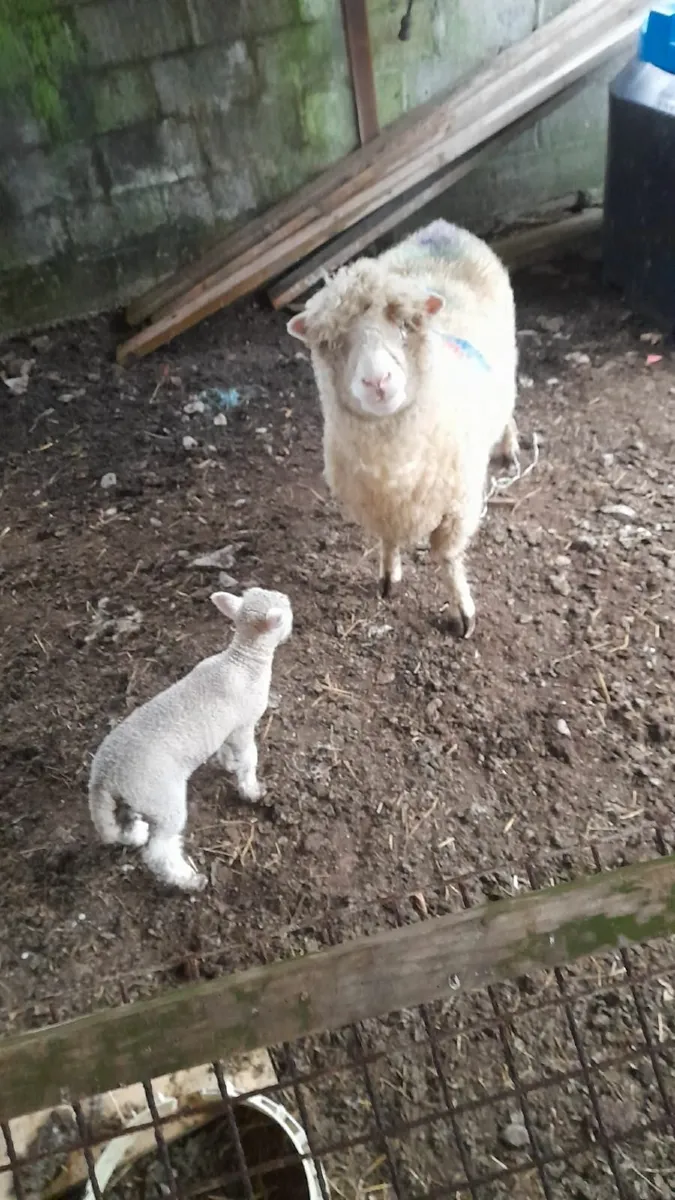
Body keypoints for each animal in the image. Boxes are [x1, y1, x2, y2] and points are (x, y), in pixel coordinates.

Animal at [88, 587, 293, 891]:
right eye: (285, 610)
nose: (288, 600)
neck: (243, 661)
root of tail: (103, 774)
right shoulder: (243, 726)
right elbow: (249, 758)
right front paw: (252, 790)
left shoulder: (227, 728)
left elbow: (225, 749)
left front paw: (227, 764)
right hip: (162, 798)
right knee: (159, 851)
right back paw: (187, 880)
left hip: (129, 798)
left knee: (123, 827)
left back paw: (137, 834)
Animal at [287, 218, 518, 637]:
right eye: (330, 342)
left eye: (408, 325)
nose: (377, 381)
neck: (395, 466)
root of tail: (442, 227)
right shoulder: (380, 504)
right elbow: (388, 539)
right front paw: (387, 577)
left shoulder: (457, 507)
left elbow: (448, 558)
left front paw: (462, 609)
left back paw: (508, 446)